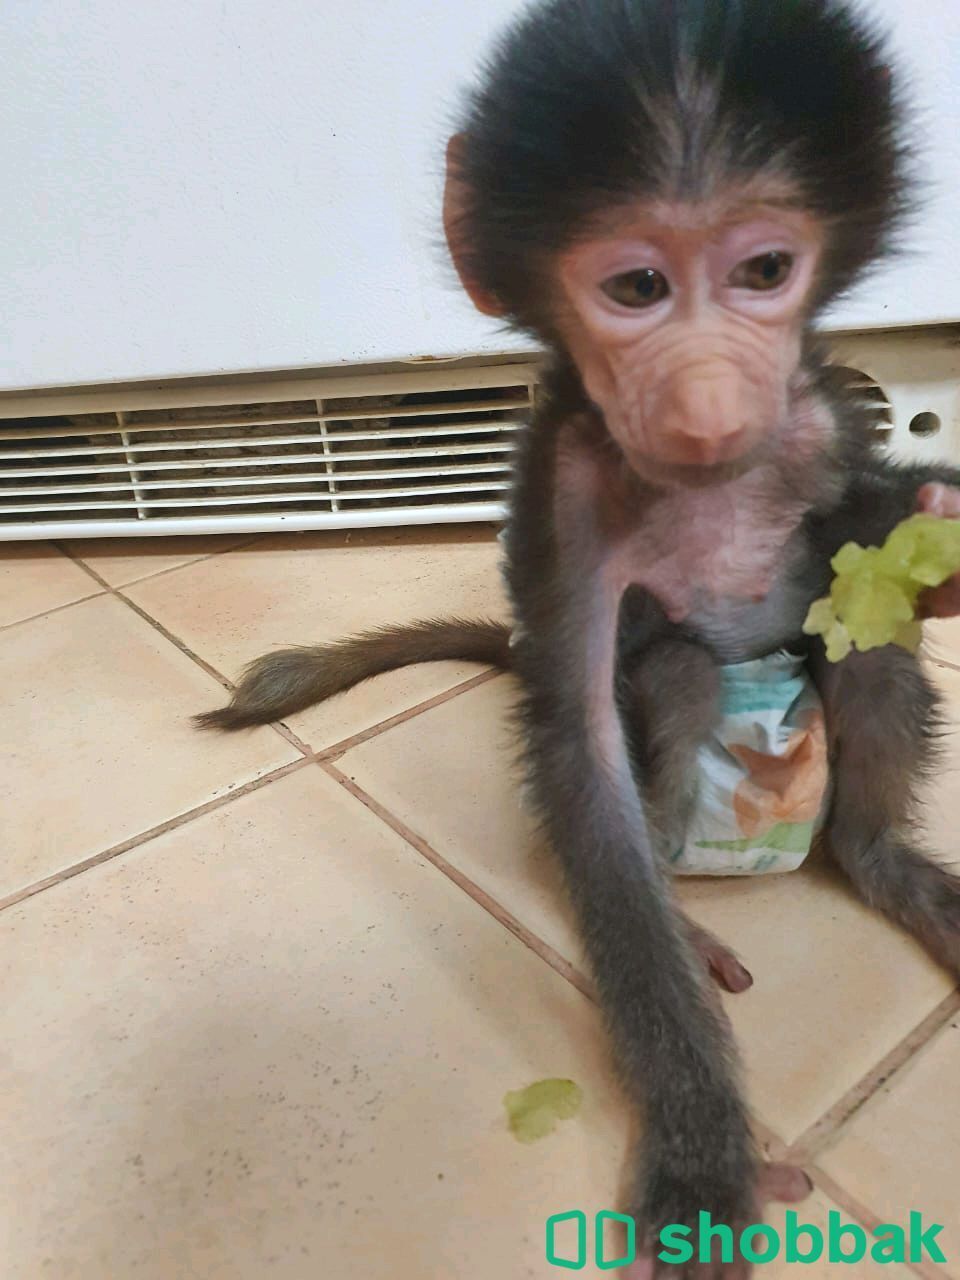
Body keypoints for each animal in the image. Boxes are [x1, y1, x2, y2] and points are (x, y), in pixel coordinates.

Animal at [196, 1, 960, 1273]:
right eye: (638, 285)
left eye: (765, 272)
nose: (710, 404)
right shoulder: (560, 478)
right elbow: (579, 741)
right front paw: (702, 1158)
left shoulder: (814, 406)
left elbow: (854, 539)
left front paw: (932, 533)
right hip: (695, 681)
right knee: (681, 673)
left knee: (869, 659)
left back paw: (881, 859)